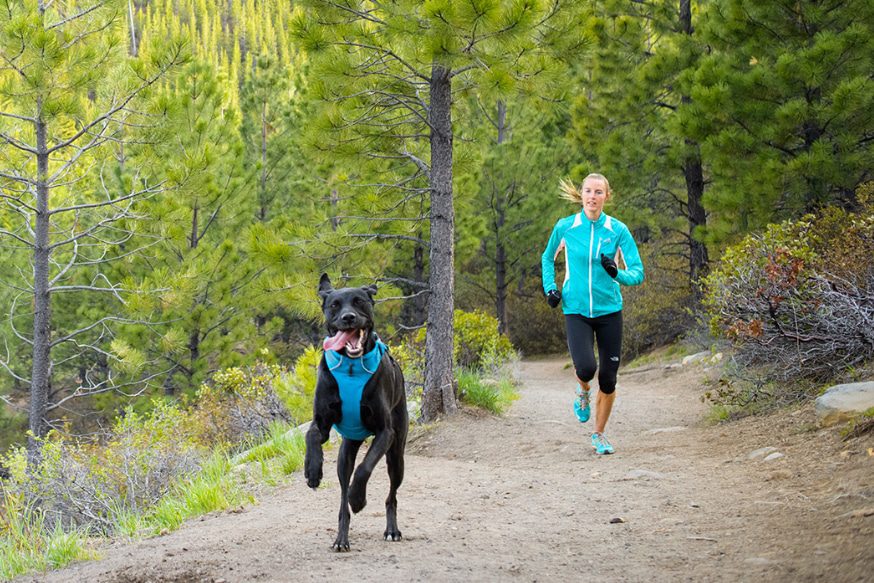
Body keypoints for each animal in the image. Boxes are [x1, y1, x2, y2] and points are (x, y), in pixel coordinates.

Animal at [304, 274, 408, 552]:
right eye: (334, 305)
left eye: (359, 301)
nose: (348, 317)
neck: (351, 366)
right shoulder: (322, 423)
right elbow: (311, 436)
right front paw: (312, 471)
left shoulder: (385, 433)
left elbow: (365, 468)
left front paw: (358, 498)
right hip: (345, 453)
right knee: (342, 500)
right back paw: (341, 539)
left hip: (397, 456)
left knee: (391, 495)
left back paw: (391, 529)